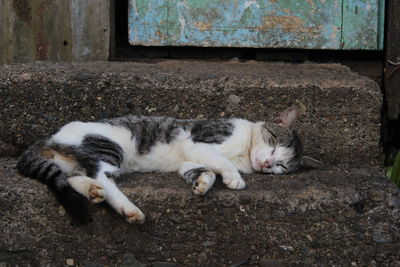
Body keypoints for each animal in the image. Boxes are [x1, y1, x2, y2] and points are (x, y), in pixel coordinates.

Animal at [16, 107, 312, 224]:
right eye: (272, 142)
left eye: (282, 166)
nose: (267, 163)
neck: (245, 153)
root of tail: (48, 138)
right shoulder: (200, 142)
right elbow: (222, 161)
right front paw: (234, 178)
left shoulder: (190, 157)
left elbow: (203, 169)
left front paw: (202, 183)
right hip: (108, 148)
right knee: (101, 175)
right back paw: (129, 209)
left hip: (77, 162)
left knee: (78, 176)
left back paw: (92, 191)